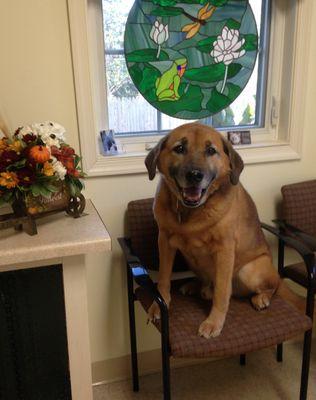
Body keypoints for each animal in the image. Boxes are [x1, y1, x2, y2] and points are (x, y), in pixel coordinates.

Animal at [144, 122, 292, 338]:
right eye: (179, 148)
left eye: (211, 151)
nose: (195, 175)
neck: (191, 212)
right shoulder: (164, 241)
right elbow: (163, 279)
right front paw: (158, 305)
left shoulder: (224, 250)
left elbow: (222, 292)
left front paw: (214, 322)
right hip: (191, 260)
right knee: (205, 280)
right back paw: (196, 286)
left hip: (249, 271)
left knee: (272, 285)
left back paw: (261, 298)